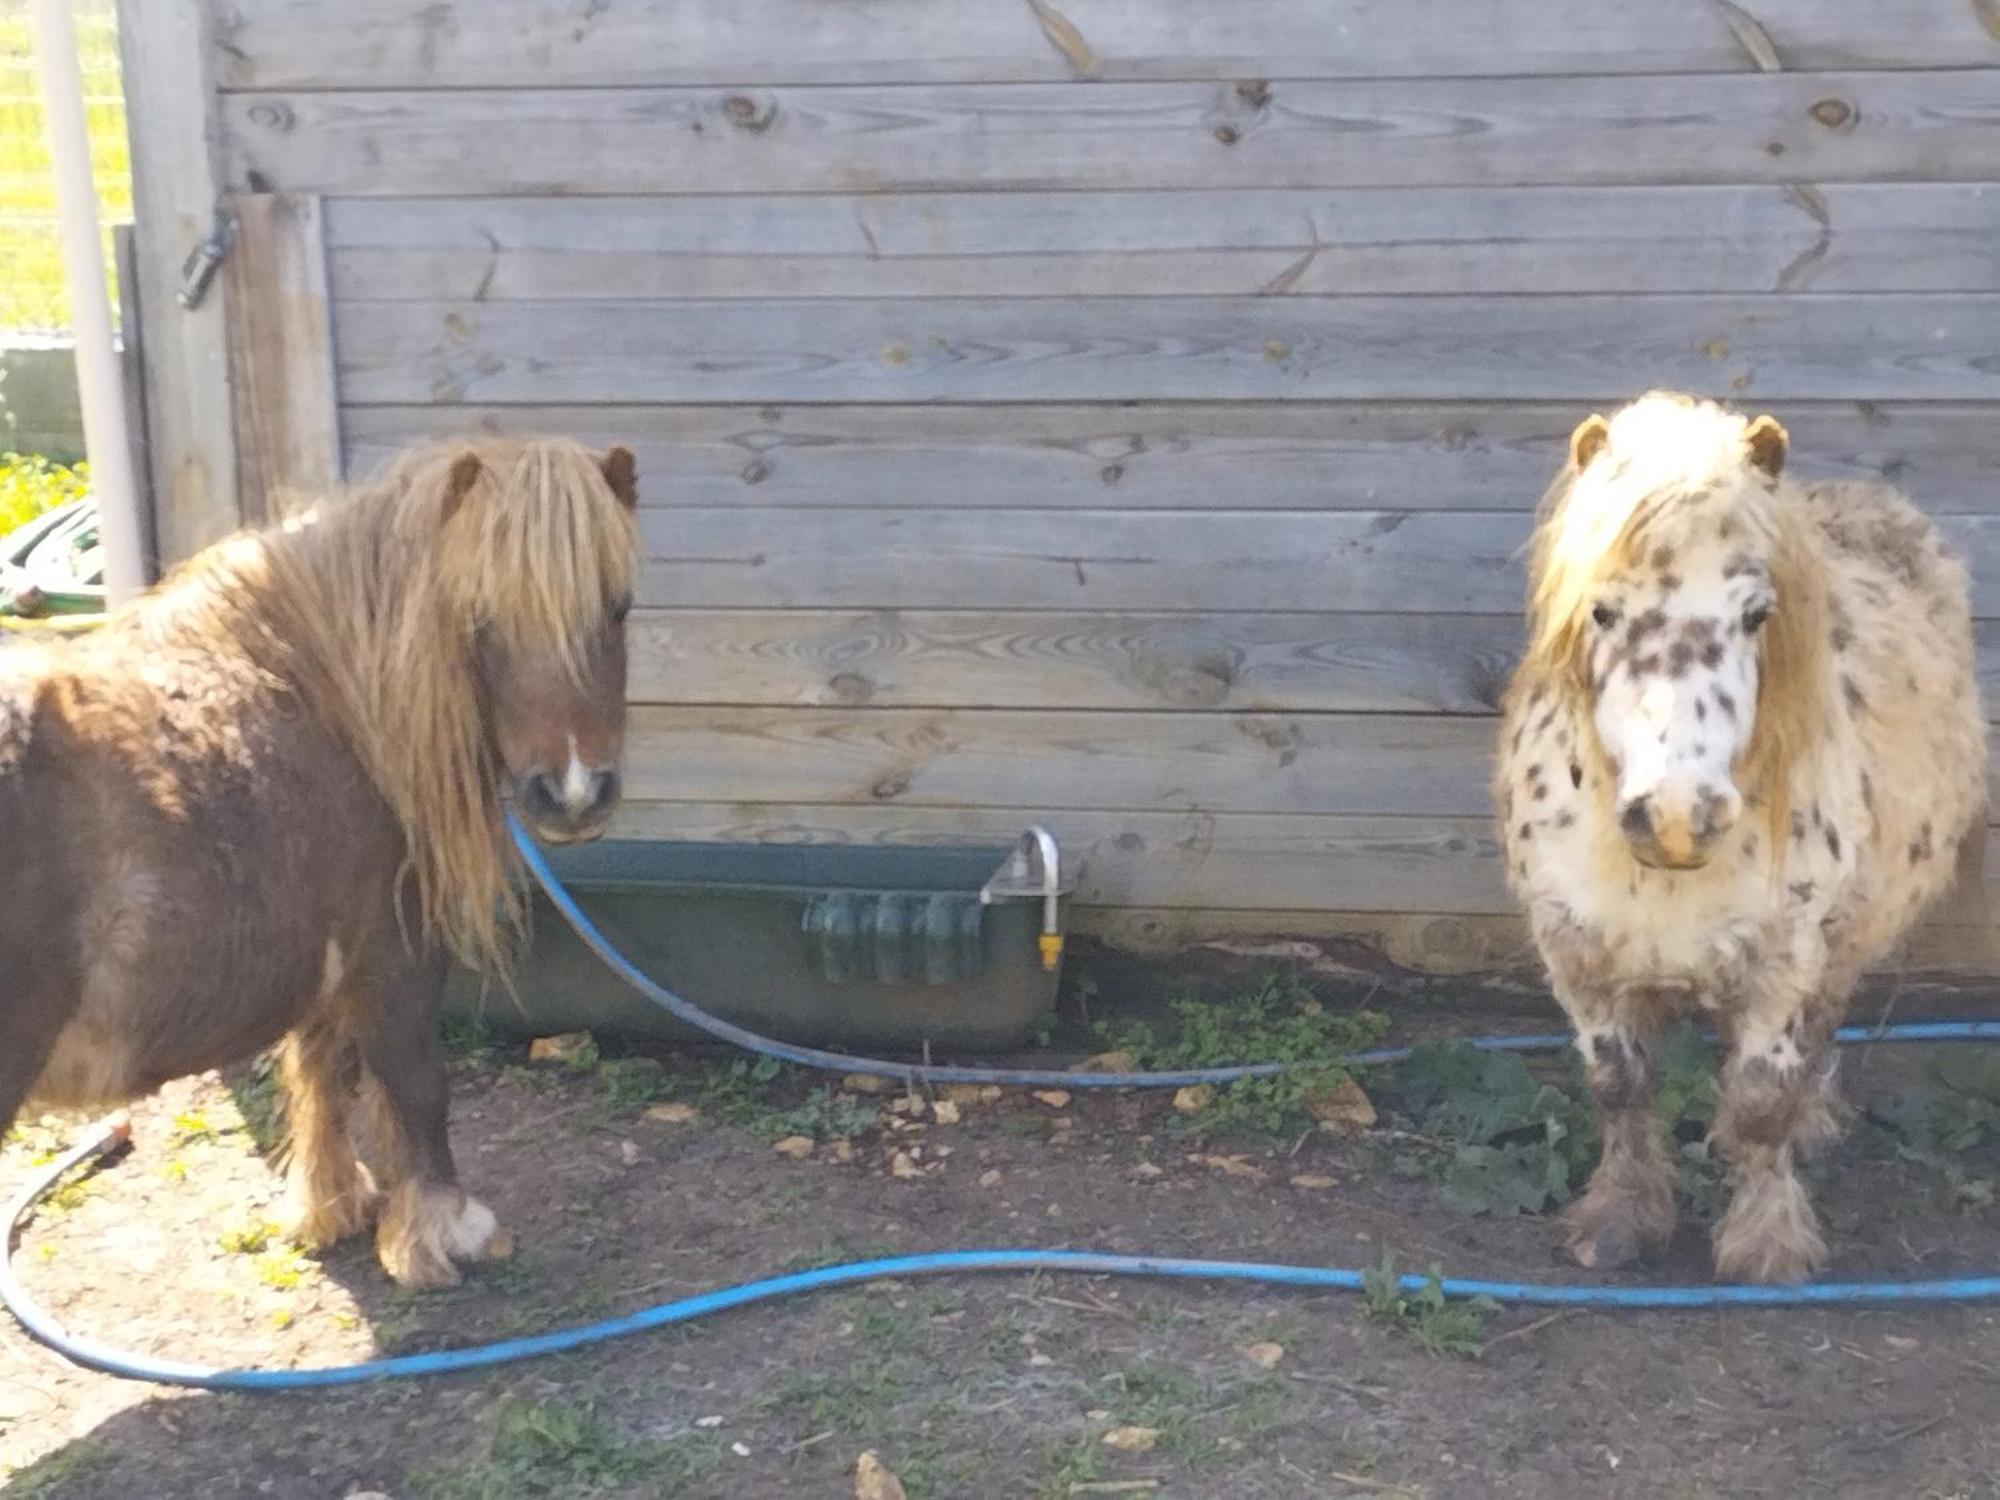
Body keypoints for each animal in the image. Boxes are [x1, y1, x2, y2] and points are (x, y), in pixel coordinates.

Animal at [0, 438, 636, 1296]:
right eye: (481, 617)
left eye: (619, 605)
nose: (572, 795)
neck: (322, 694)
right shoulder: (393, 953)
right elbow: (414, 1081)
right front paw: (443, 1231)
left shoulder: (324, 957)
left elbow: (324, 1071)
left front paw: (335, 1205)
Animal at [1504, 394, 1984, 1288]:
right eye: (1601, 610)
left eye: (1755, 615)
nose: (1677, 818)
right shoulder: (1578, 952)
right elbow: (1619, 1084)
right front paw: (1618, 1222)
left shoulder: (1786, 954)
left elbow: (1764, 1099)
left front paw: (1766, 1242)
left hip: (1846, 934)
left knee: (1818, 1029)